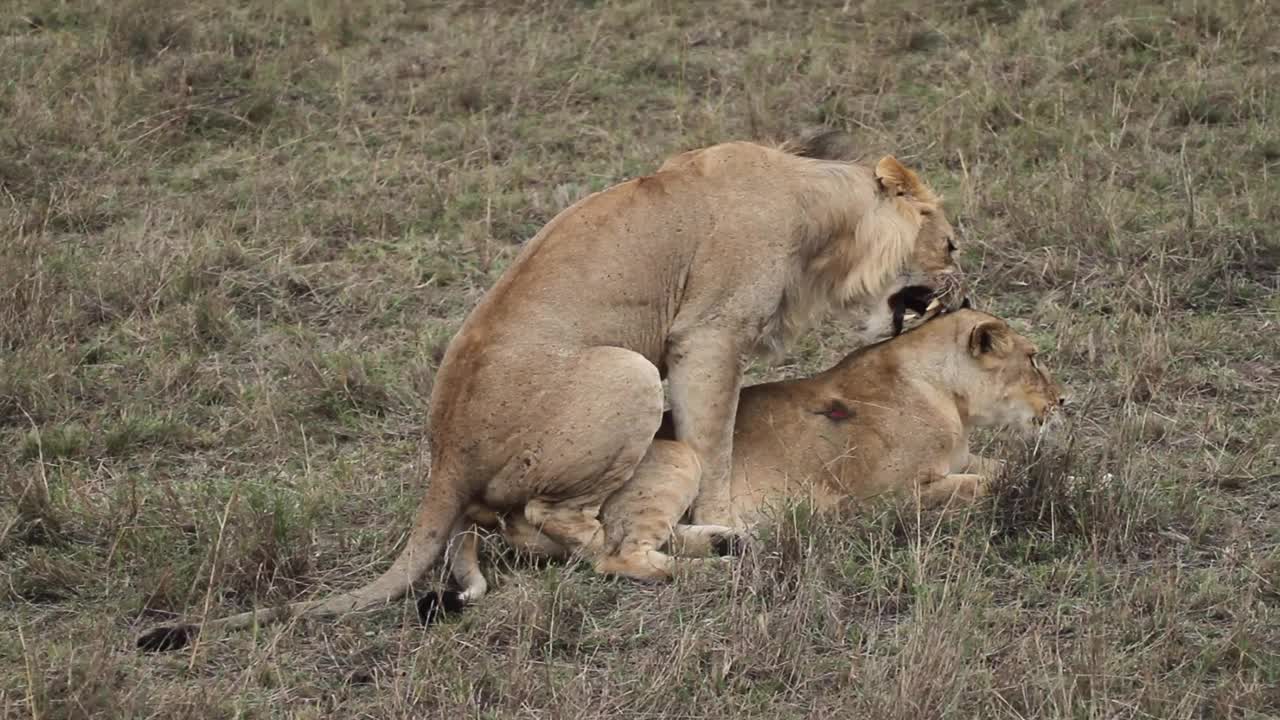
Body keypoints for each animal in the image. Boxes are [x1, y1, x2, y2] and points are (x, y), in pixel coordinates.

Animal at [137, 130, 962, 650]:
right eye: (948, 241)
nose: (962, 280)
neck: (822, 221)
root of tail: (444, 460)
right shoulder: (707, 337)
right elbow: (714, 442)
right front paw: (723, 519)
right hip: (627, 372)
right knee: (557, 521)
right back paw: (668, 554)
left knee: (520, 526)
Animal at [435, 304, 1064, 620]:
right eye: (1034, 359)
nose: (1064, 402)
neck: (944, 392)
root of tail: (502, 511)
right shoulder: (887, 497)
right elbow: (984, 483)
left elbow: (992, 469)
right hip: (675, 455)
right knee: (620, 556)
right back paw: (723, 571)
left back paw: (731, 543)